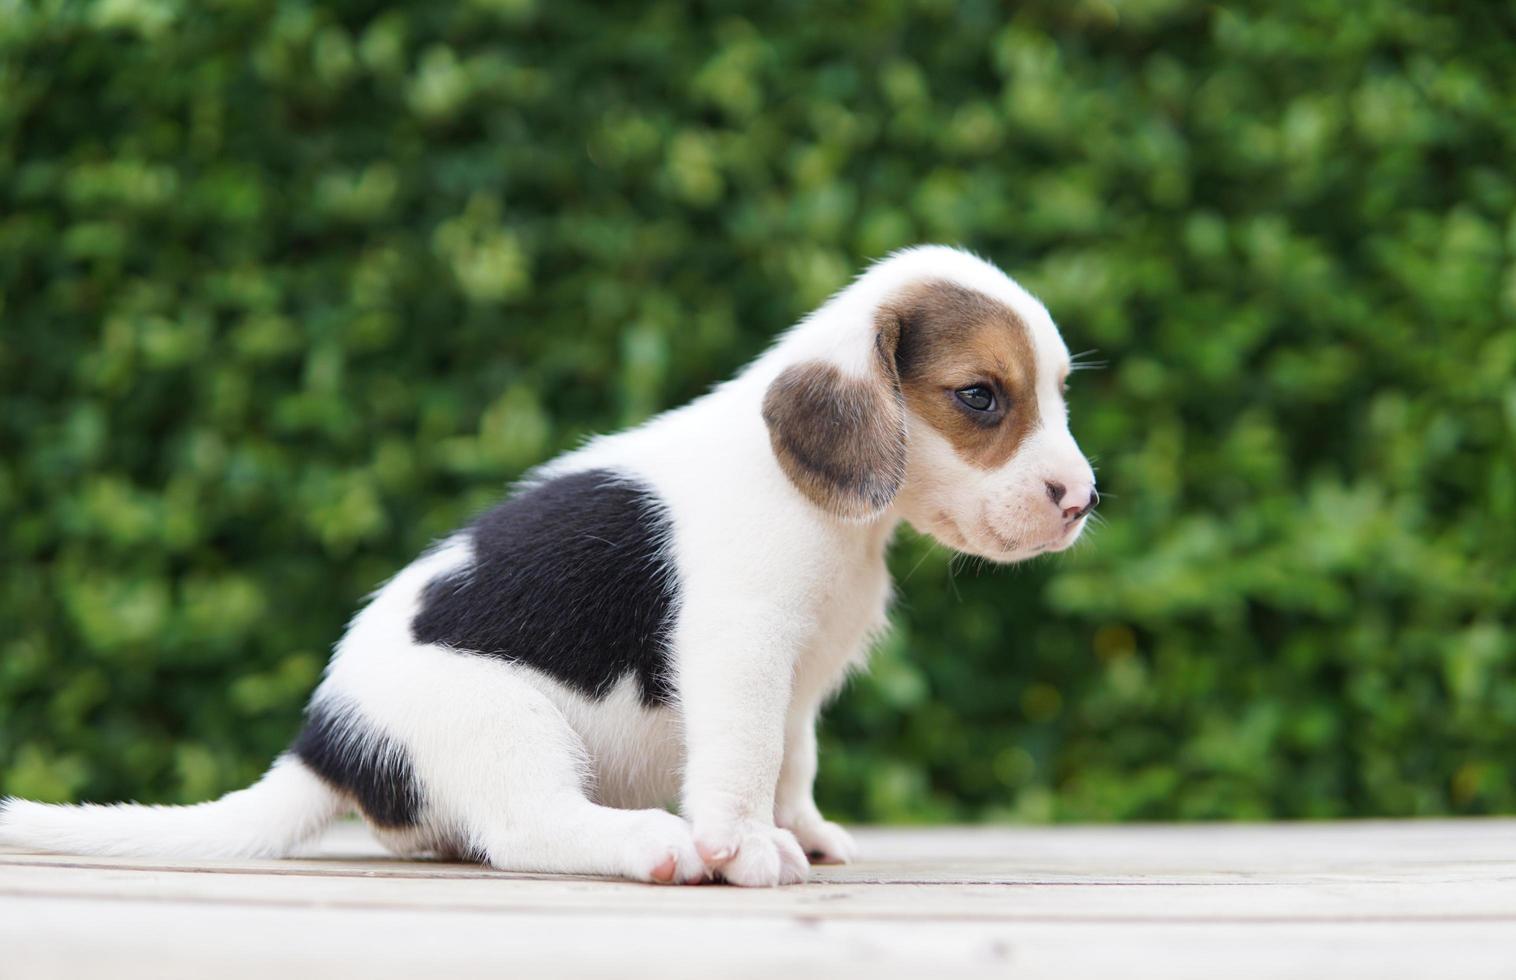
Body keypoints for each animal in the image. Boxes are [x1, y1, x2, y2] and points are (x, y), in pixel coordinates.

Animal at [0, 245, 1091, 892]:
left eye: (1057, 394)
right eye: (982, 396)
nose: (1081, 500)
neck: (837, 513)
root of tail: (325, 738)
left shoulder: (799, 683)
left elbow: (793, 761)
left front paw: (800, 828)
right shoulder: (743, 655)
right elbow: (742, 761)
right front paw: (744, 846)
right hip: (504, 718)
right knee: (528, 827)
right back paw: (650, 843)